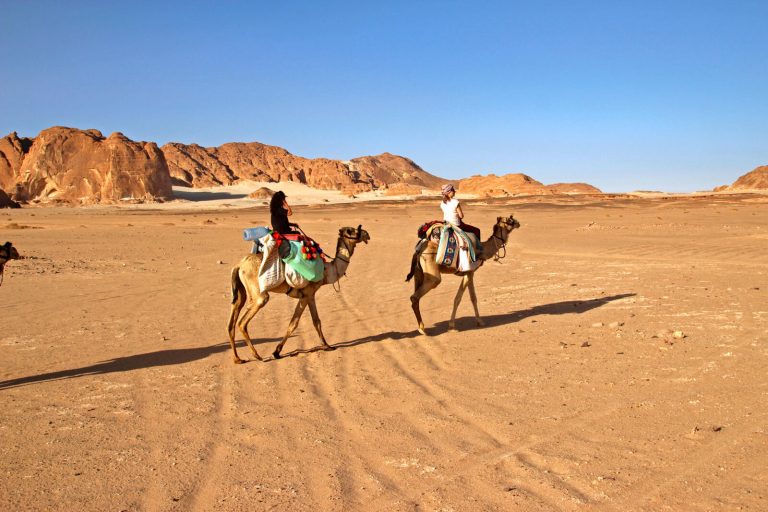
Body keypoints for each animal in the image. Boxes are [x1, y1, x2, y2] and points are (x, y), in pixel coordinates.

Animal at [226, 225, 370, 364]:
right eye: (351, 230)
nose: (367, 234)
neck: (326, 272)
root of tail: (239, 265)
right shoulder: (306, 295)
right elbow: (294, 323)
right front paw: (276, 352)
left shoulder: (311, 296)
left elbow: (317, 321)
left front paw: (327, 345)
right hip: (258, 292)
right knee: (243, 322)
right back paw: (257, 356)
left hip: (241, 290)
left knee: (233, 319)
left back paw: (238, 359)